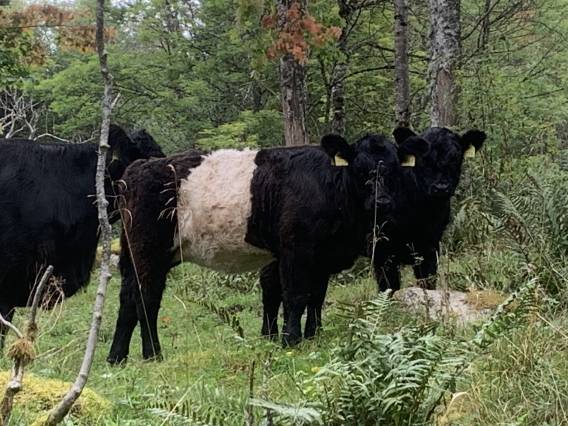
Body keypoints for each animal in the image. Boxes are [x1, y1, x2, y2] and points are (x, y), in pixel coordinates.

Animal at [106, 132, 431, 364]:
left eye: (394, 168)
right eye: (360, 169)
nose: (382, 202)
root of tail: (137, 167)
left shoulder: (322, 257)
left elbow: (316, 298)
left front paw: (313, 335)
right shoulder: (295, 250)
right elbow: (296, 296)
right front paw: (291, 340)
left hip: (136, 254)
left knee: (127, 298)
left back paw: (116, 357)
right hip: (150, 251)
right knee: (146, 299)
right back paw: (152, 354)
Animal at [372, 126, 487, 292]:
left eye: (456, 157)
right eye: (423, 158)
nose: (441, 187)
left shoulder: (430, 247)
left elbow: (428, 281)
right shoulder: (383, 251)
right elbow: (388, 287)